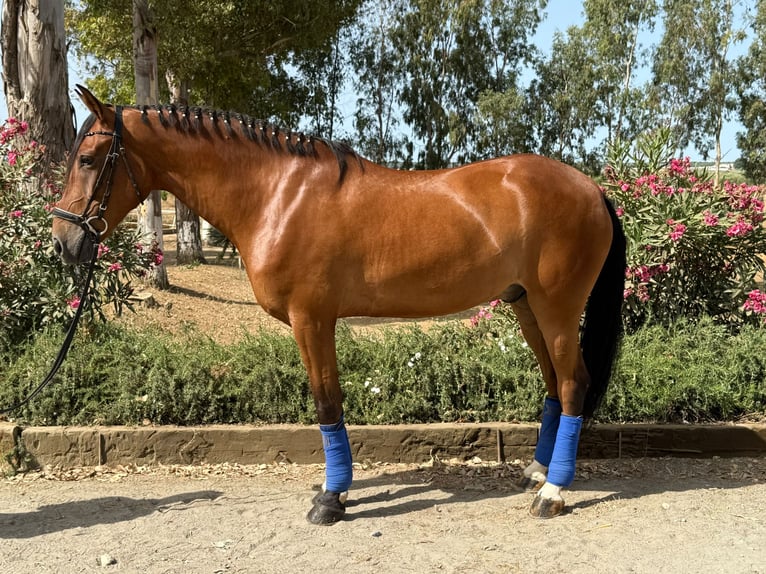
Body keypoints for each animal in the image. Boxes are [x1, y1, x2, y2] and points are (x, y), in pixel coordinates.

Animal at [52, 85, 626, 524]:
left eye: (88, 159)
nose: (63, 241)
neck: (279, 194)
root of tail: (592, 188)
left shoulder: (312, 320)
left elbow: (327, 404)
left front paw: (331, 499)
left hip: (556, 308)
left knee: (573, 384)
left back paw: (553, 493)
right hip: (526, 306)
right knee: (554, 386)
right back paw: (538, 472)